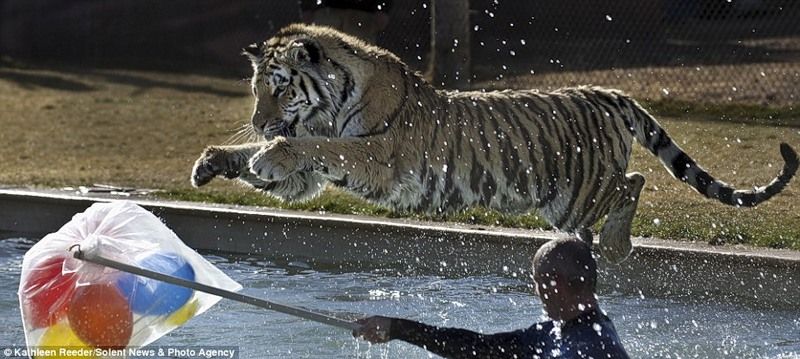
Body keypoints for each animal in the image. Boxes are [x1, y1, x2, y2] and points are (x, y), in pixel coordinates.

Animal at [191, 23, 796, 264]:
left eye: (278, 88)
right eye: (255, 89)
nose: (261, 123)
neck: (330, 100)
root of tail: (605, 92)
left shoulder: (376, 155)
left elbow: (324, 149)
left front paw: (269, 154)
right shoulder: (312, 176)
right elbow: (286, 163)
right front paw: (213, 162)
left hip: (581, 191)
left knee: (635, 180)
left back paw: (616, 245)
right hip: (563, 201)